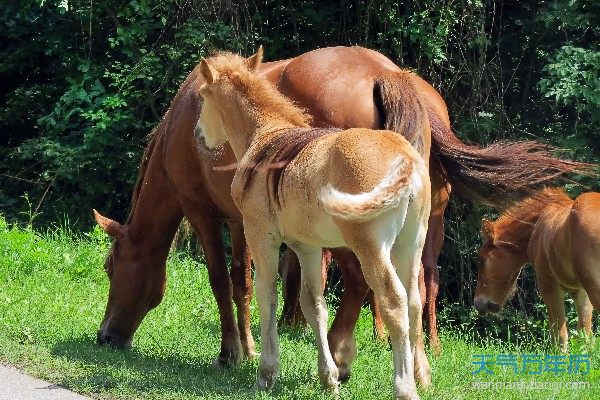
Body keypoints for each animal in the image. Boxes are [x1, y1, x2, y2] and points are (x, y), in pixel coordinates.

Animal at [198, 49, 432, 400]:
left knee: (394, 302)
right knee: (414, 301)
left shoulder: (261, 236)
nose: (198, 135)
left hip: (372, 249)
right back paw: (419, 377)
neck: (265, 140)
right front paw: (329, 378)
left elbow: (267, 296)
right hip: (410, 243)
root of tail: (404, 155)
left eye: (202, 95)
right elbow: (314, 305)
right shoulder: (306, 247)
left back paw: (405, 387)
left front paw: (266, 374)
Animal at [476, 188, 596, 350]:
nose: (478, 303)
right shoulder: (579, 291)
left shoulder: (548, 285)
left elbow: (559, 337)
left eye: (481, 261)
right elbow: (585, 337)